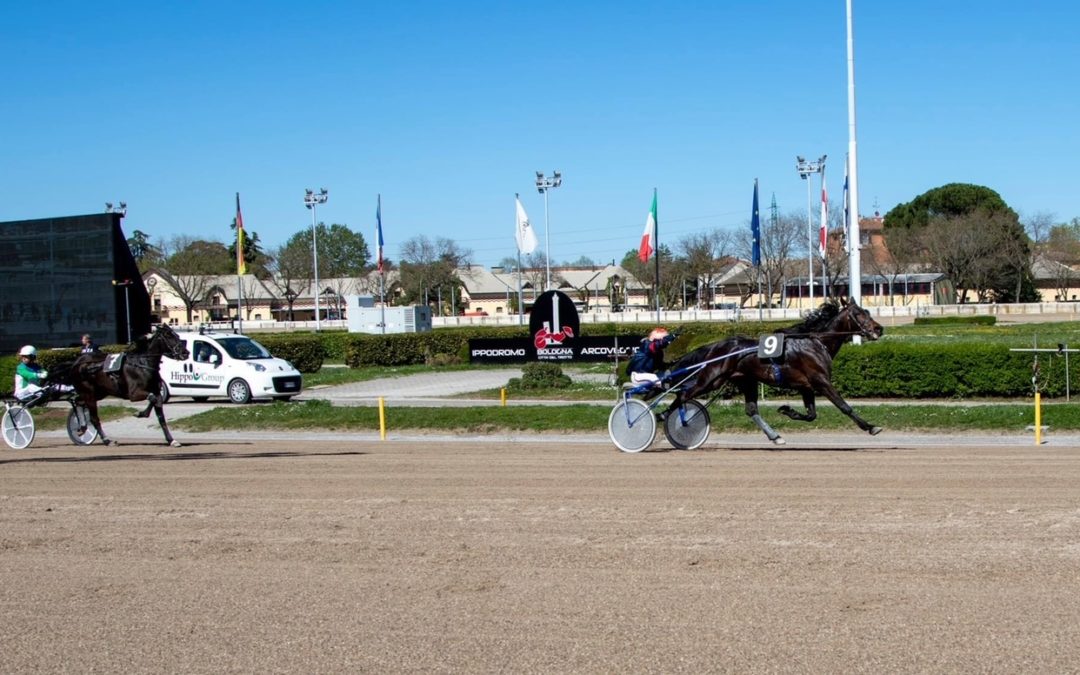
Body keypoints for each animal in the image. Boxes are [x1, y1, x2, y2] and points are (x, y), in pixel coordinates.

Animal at [54, 321, 190, 444]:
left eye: (177, 335)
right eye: (168, 335)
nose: (186, 353)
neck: (142, 364)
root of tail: (76, 363)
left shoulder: (156, 391)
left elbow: (160, 413)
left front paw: (171, 440)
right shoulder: (134, 394)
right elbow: (152, 398)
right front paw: (140, 413)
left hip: (98, 392)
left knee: (77, 401)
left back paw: (82, 427)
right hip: (89, 393)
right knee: (93, 417)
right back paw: (106, 439)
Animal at [665, 298, 885, 444]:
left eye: (868, 311)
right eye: (859, 314)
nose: (879, 329)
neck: (816, 343)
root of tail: (714, 346)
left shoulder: (806, 386)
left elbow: (811, 415)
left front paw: (787, 410)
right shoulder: (821, 381)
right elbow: (844, 406)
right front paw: (871, 427)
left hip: (745, 380)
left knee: (751, 410)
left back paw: (775, 436)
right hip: (710, 380)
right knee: (683, 395)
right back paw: (668, 419)